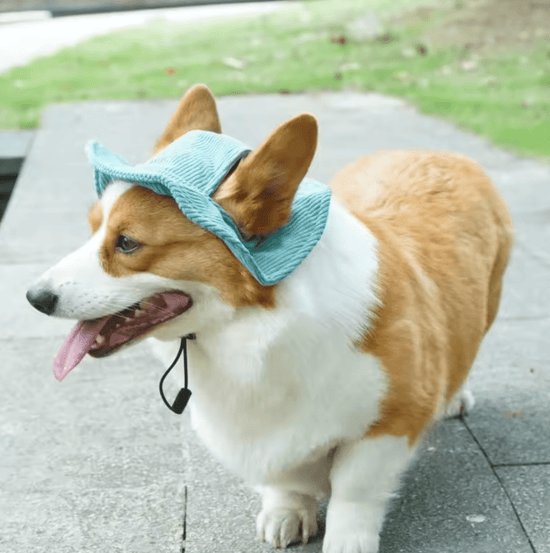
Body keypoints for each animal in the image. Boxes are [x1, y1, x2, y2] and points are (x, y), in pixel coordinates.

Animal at [28, 84, 516, 548]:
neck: (250, 329)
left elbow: (353, 490)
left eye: (127, 243)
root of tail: (434, 151)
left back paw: (455, 396)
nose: (34, 298)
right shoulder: (265, 440)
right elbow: (286, 481)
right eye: (92, 228)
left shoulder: (390, 422)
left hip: (487, 304)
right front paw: (288, 514)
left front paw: (347, 539)